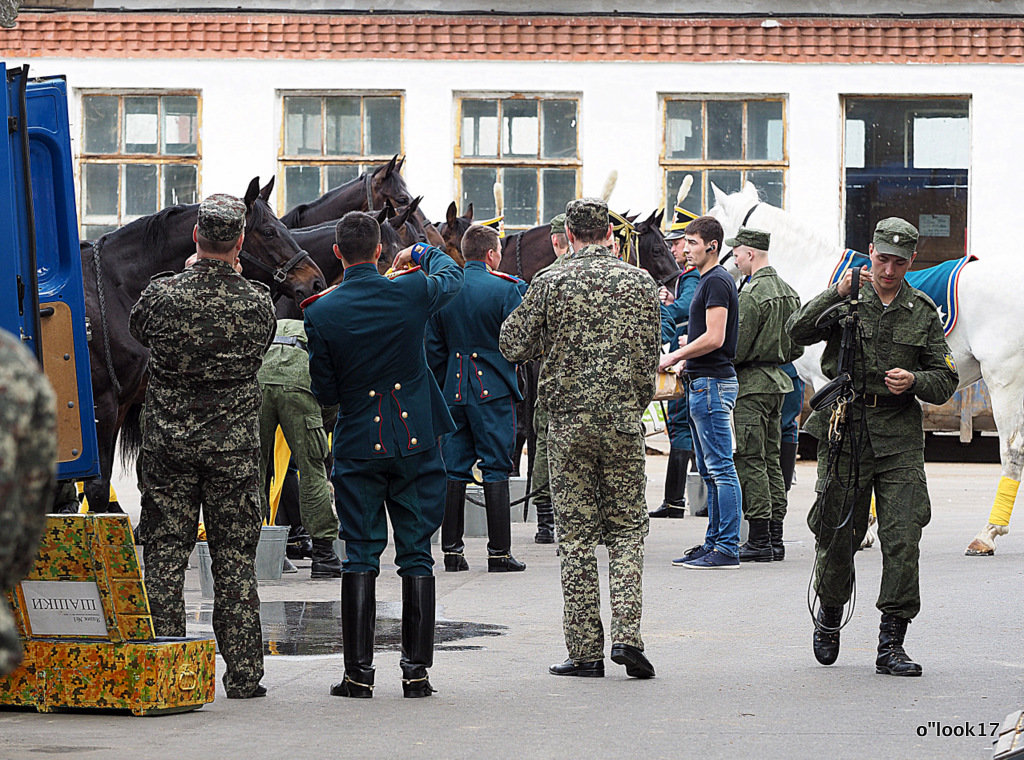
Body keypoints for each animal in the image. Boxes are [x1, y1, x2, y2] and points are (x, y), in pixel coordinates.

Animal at [81, 175, 325, 514]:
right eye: (269, 231)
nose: (315, 281)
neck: (113, 289)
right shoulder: (101, 404)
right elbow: (97, 489)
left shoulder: (122, 403)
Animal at [708, 181, 1024, 557]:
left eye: (713, 224)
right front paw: (866, 526)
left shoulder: (829, 384)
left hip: (1005, 381)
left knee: (1012, 451)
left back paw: (987, 533)